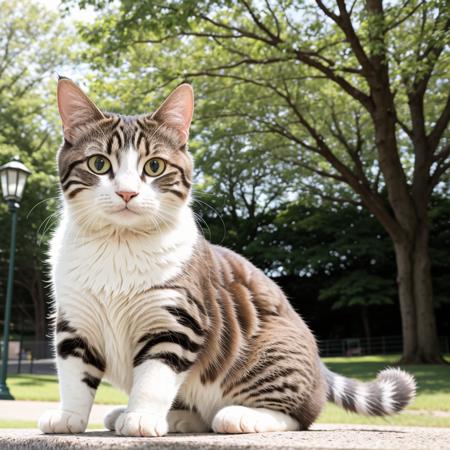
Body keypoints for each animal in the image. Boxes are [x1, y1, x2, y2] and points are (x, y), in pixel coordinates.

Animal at [37, 77, 414, 436]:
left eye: (154, 166)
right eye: (99, 163)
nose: (127, 193)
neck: (118, 245)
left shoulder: (177, 321)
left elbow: (155, 378)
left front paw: (141, 417)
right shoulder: (74, 321)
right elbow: (74, 377)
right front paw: (70, 417)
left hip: (274, 350)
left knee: (300, 414)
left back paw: (240, 416)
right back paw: (164, 417)